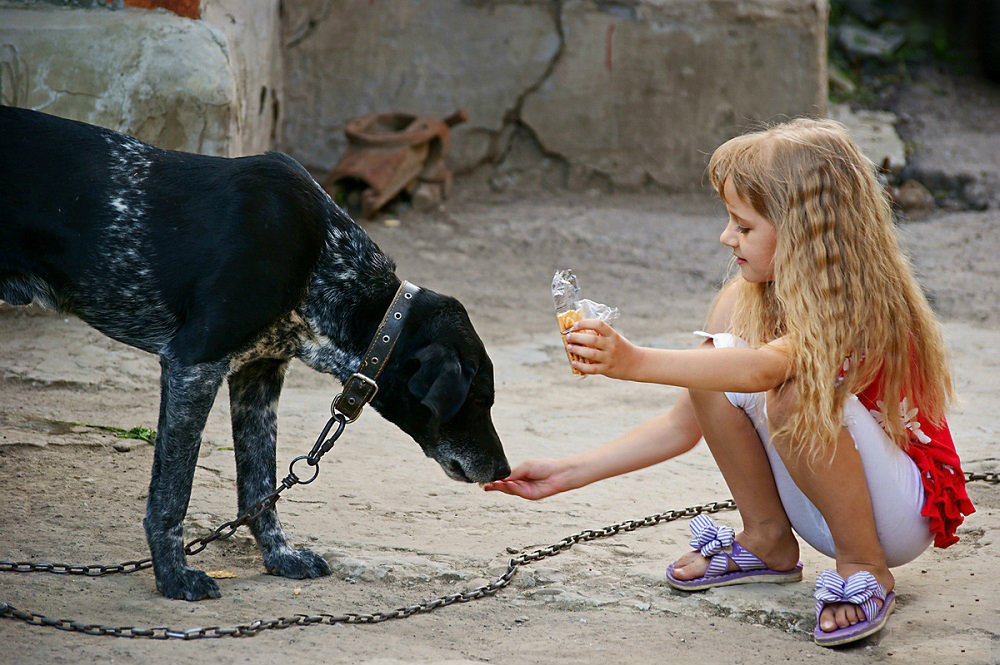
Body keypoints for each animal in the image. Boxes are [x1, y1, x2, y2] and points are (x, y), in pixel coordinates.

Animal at [0, 106, 512, 600]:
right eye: (479, 400)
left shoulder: (259, 375)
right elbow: (173, 492)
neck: (327, 265)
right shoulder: (194, 364)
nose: (504, 469)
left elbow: (259, 483)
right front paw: (173, 577)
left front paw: (280, 557)